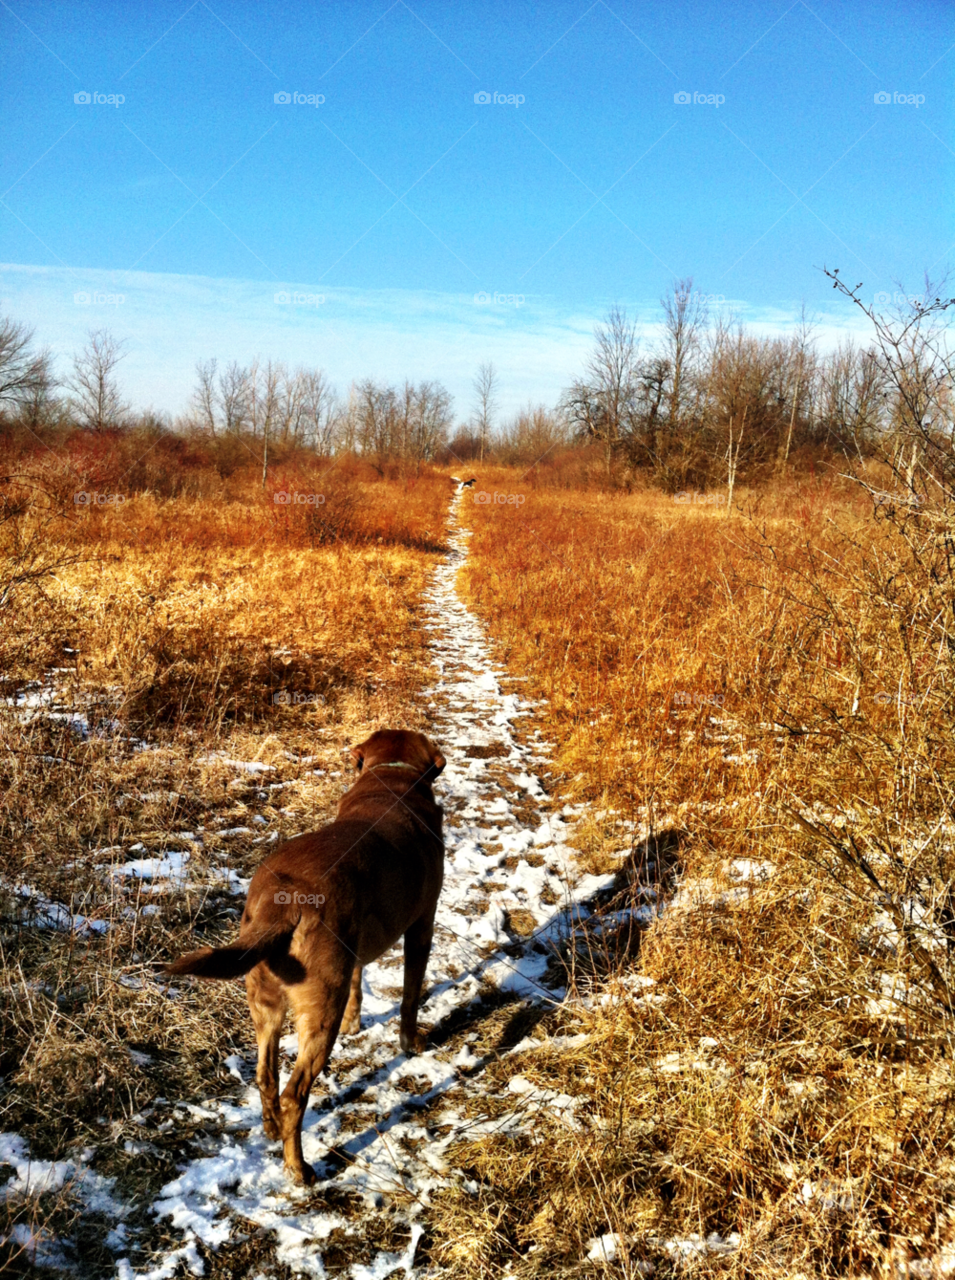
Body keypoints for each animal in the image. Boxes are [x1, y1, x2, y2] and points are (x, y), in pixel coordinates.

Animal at [165, 732, 445, 1177]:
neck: (391, 777)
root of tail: (285, 903)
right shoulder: (422, 925)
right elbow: (409, 999)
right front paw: (411, 1043)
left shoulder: (354, 948)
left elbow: (358, 982)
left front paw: (355, 1023)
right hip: (318, 1012)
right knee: (295, 1093)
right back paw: (299, 1168)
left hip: (265, 1002)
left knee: (266, 1076)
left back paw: (272, 1129)